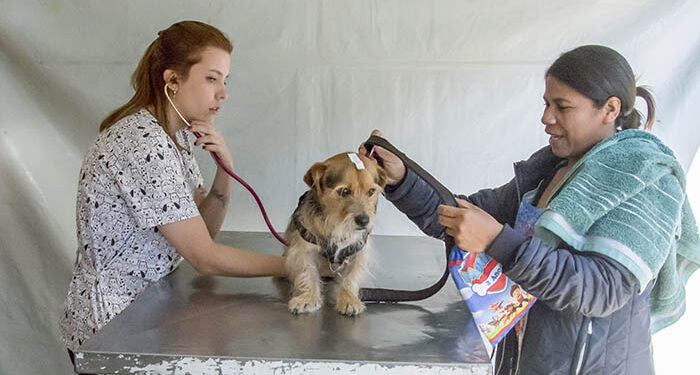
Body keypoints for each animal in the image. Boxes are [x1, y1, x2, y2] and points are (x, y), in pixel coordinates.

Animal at [282, 151, 386, 316]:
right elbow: (307, 273)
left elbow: (351, 278)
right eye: (344, 191)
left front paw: (349, 300)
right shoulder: (304, 250)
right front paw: (307, 298)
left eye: (371, 191)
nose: (364, 220)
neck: (337, 224)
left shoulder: (358, 253)